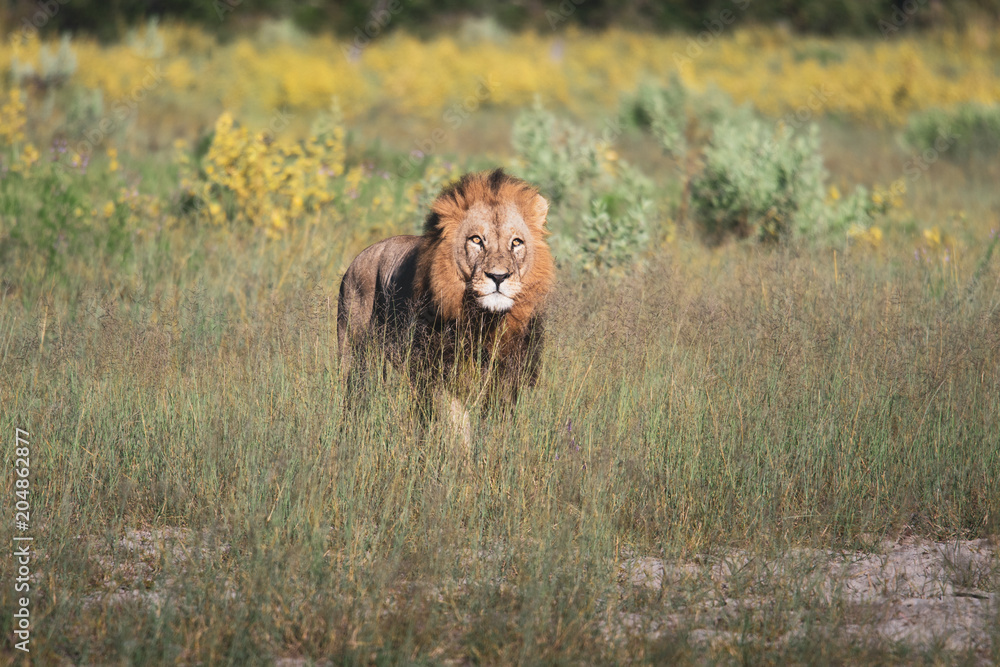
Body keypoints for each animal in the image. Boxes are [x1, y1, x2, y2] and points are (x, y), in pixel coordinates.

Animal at [337, 168, 554, 430]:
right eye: (476, 240)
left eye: (516, 243)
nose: (498, 276)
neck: (485, 321)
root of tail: (357, 259)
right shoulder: (443, 374)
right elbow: (457, 429)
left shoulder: (508, 377)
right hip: (355, 352)